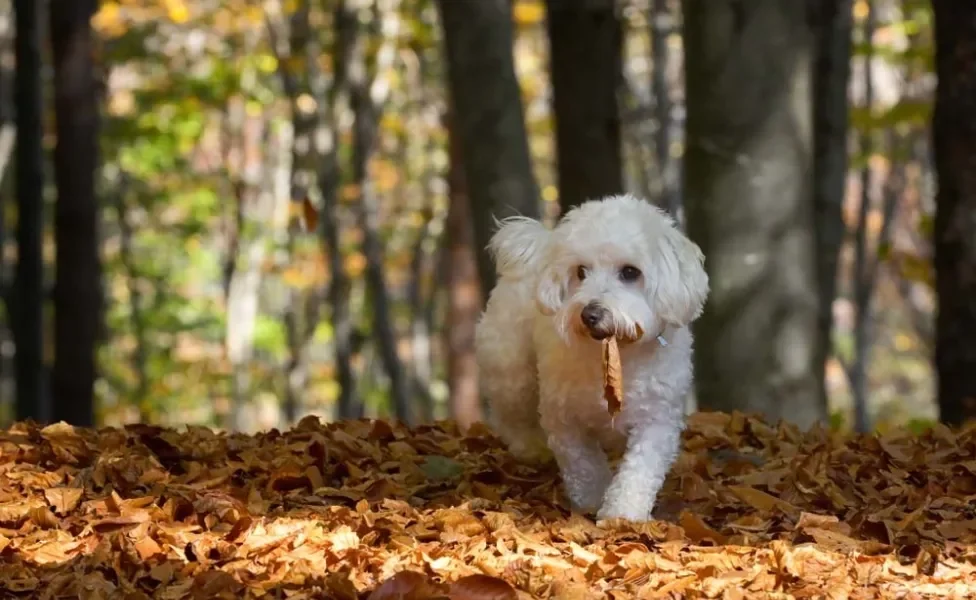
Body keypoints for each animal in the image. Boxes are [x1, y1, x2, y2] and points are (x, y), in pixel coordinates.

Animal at [474, 193, 708, 520]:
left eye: (630, 272)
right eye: (580, 271)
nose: (590, 314)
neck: (615, 355)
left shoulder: (657, 420)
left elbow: (640, 469)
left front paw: (623, 513)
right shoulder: (564, 419)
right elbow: (583, 465)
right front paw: (592, 501)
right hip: (512, 370)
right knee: (511, 414)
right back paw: (530, 448)